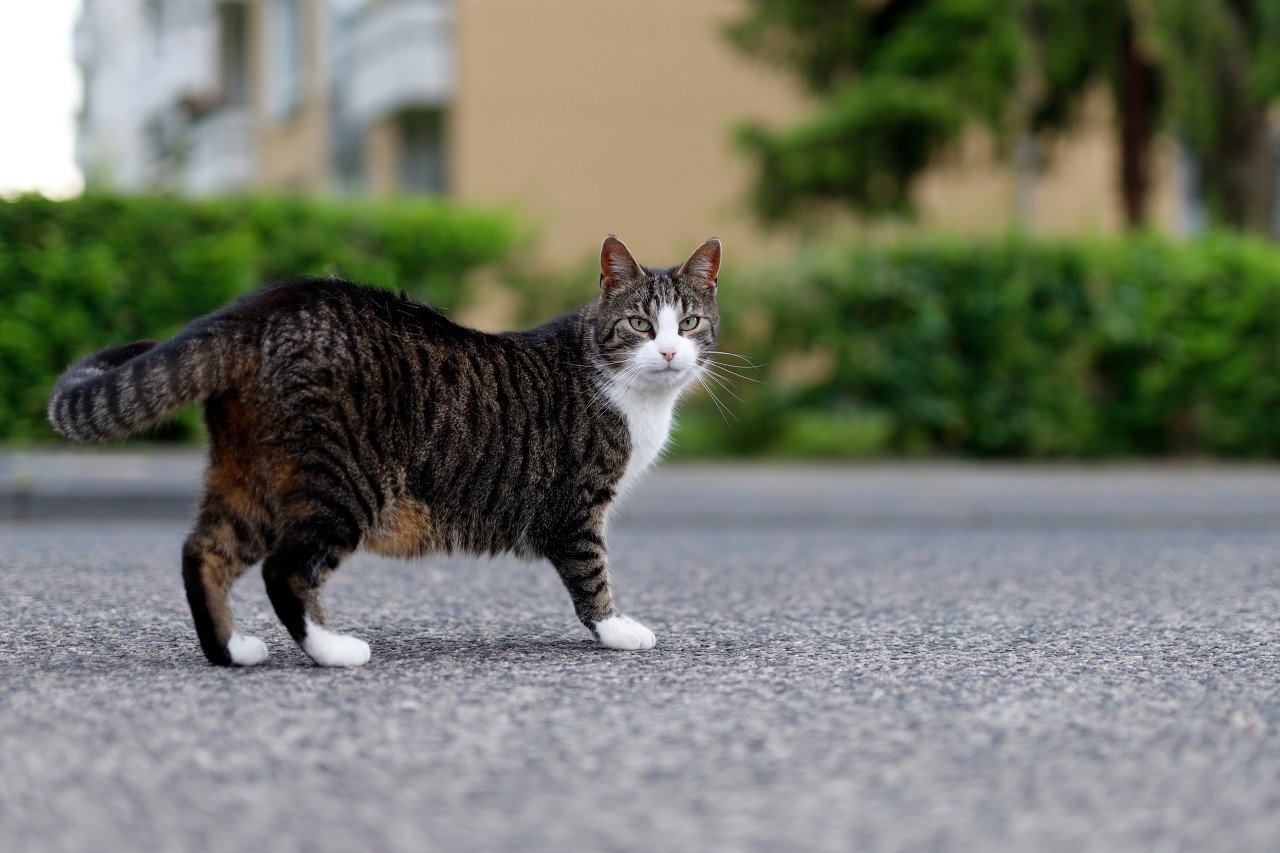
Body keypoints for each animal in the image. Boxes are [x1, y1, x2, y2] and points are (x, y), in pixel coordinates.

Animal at [45, 234, 721, 666]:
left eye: (688, 324)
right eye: (640, 324)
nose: (668, 351)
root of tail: (263, 305)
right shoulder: (578, 507)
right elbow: (592, 573)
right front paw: (618, 631)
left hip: (253, 478)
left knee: (204, 552)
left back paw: (231, 652)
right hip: (345, 481)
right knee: (284, 568)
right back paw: (332, 652)